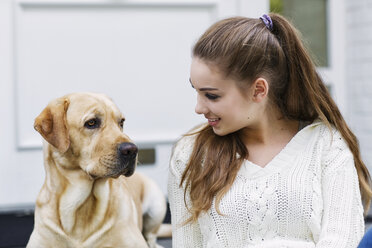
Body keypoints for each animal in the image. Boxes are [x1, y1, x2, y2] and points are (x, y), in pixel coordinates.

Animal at [27, 93, 169, 248]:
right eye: (91, 123)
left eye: (121, 122)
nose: (132, 150)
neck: (81, 206)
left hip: (156, 206)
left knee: (152, 238)